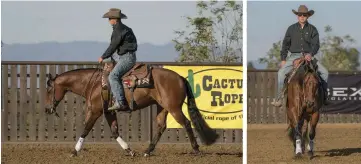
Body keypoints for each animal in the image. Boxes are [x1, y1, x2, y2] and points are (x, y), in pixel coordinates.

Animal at [43, 62, 218, 157]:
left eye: (49, 90)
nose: (47, 110)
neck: (94, 83)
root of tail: (180, 78)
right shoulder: (109, 112)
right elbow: (115, 132)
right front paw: (130, 151)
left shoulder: (96, 112)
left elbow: (85, 129)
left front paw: (74, 151)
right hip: (162, 107)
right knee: (161, 126)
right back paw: (147, 151)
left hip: (174, 108)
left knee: (186, 123)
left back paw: (196, 150)